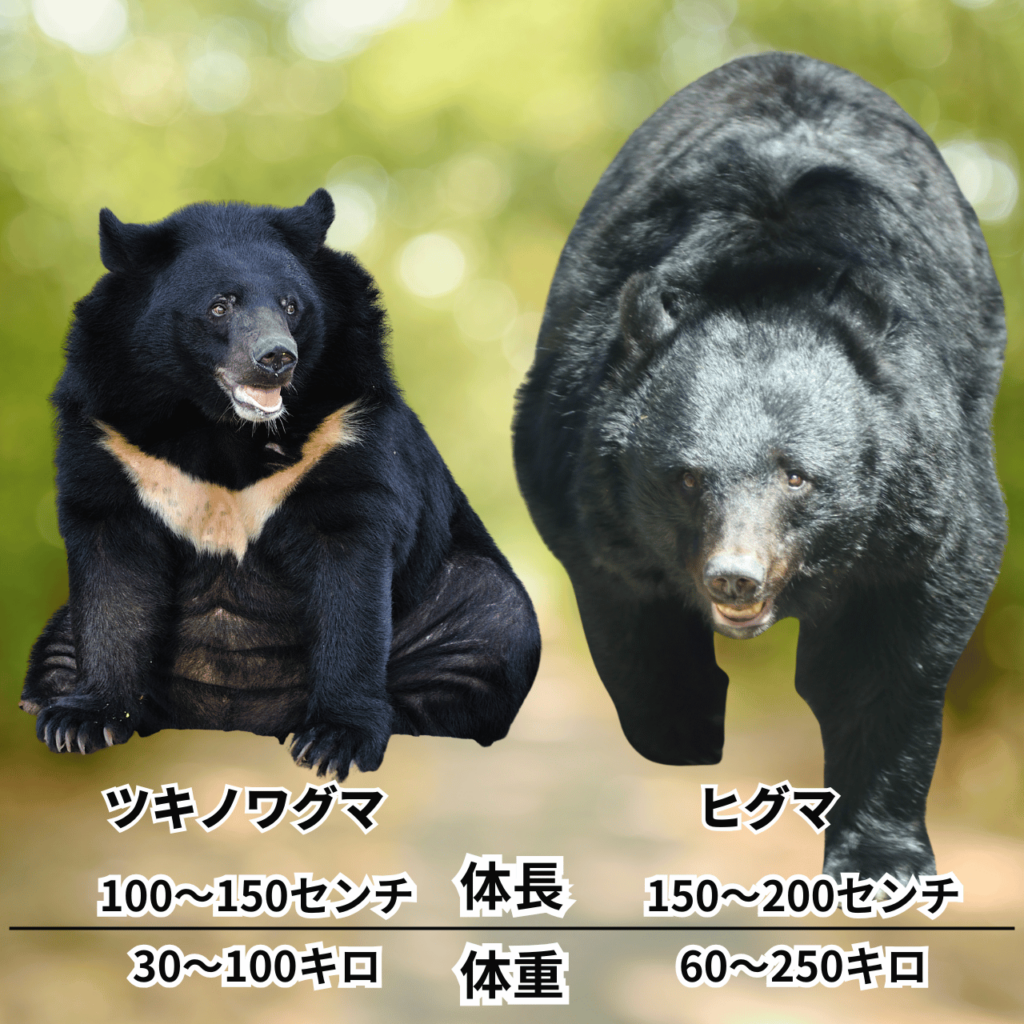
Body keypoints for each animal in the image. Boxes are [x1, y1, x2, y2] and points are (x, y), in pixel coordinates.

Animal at [22, 189, 541, 779]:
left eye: (292, 306)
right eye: (219, 306)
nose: (276, 359)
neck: (219, 423)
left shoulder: (344, 426)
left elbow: (351, 580)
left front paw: (334, 740)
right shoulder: (110, 436)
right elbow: (112, 578)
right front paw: (80, 722)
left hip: (459, 596)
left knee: (492, 624)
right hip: (64, 628)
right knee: (57, 647)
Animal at [512, 53, 1006, 882]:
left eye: (796, 476)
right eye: (685, 477)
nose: (734, 578)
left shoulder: (932, 477)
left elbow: (896, 654)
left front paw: (881, 856)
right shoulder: (578, 472)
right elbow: (630, 617)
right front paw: (680, 737)